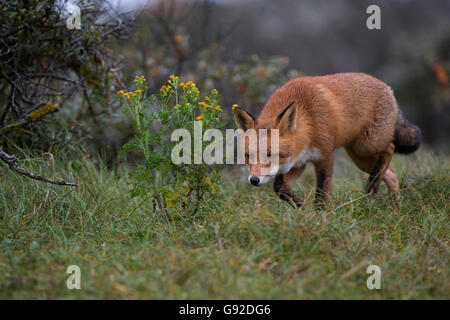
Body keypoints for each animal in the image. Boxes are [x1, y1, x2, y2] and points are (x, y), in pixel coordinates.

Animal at [234, 72, 420, 208]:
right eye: (248, 156)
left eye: (270, 155)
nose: (254, 180)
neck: (308, 121)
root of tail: (387, 88)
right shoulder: (299, 162)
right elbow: (279, 187)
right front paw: (300, 203)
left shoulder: (324, 154)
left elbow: (322, 191)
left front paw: (319, 216)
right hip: (359, 157)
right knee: (390, 173)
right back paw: (392, 204)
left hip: (367, 145)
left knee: (390, 149)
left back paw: (373, 191)